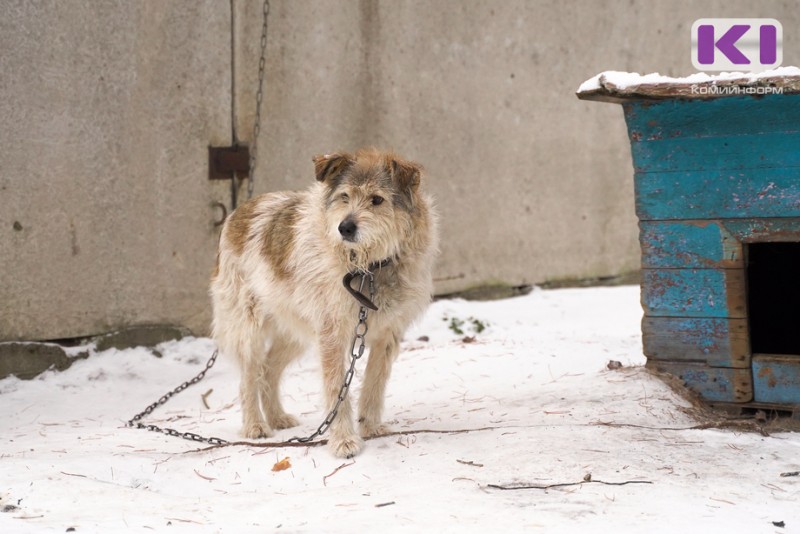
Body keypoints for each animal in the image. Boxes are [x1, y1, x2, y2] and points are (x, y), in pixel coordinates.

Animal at [209, 149, 438, 458]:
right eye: (344, 196)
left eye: (377, 199)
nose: (345, 228)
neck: (369, 268)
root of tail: (240, 210)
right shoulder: (332, 334)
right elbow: (336, 389)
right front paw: (343, 441)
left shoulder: (387, 335)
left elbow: (374, 383)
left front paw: (370, 426)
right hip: (249, 329)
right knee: (249, 377)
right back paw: (255, 426)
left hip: (295, 331)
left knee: (268, 370)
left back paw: (277, 418)